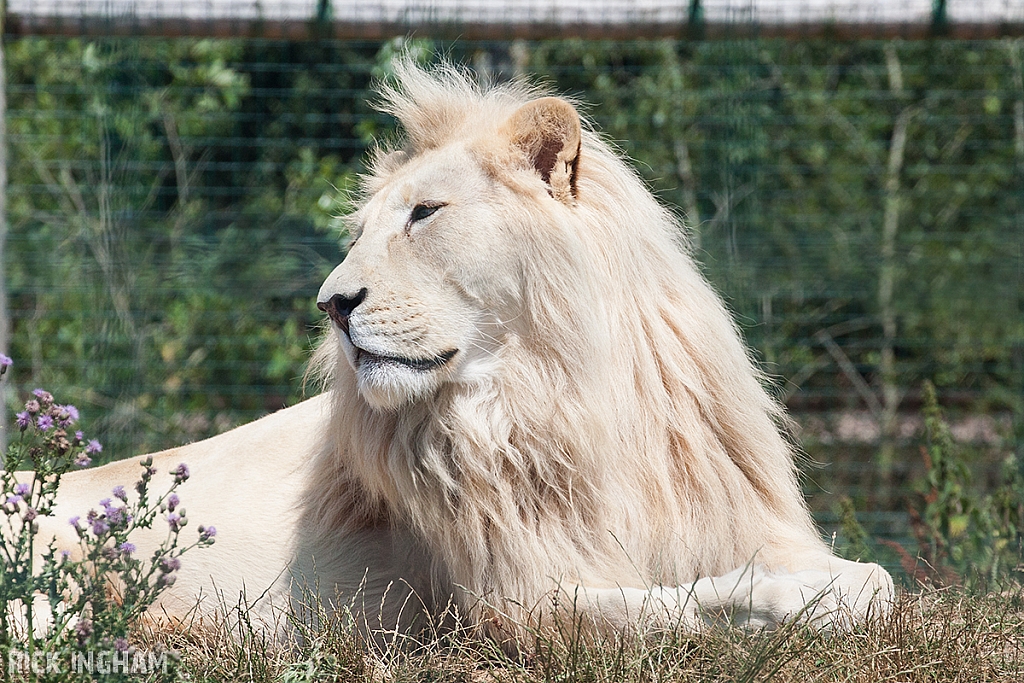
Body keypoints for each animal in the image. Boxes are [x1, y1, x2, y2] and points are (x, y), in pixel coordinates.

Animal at [36, 60, 892, 647]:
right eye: (361, 231)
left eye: (424, 213)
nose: (331, 304)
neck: (564, 394)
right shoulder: (516, 598)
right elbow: (685, 605)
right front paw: (783, 603)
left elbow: (879, 581)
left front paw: (828, 594)